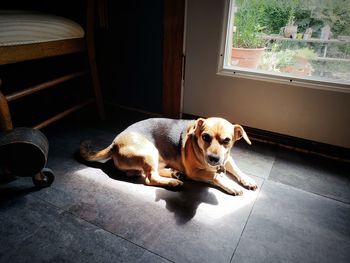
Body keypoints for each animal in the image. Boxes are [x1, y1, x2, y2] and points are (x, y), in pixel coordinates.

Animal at [80, 117, 258, 196]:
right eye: (205, 137)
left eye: (227, 140)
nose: (213, 159)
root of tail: (114, 144)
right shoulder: (196, 172)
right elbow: (216, 176)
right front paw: (232, 185)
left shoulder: (226, 158)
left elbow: (236, 169)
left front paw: (247, 180)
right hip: (150, 150)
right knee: (149, 177)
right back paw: (173, 182)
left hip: (157, 156)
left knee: (146, 172)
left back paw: (175, 173)